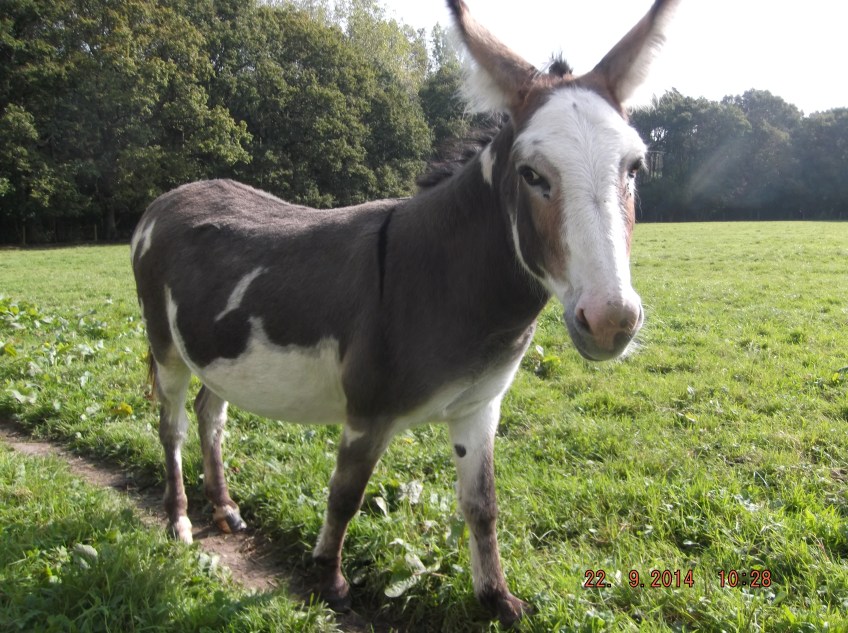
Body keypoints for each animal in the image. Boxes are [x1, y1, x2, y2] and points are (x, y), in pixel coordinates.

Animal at [131, 0, 679, 625]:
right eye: (532, 174)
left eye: (634, 168)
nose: (611, 321)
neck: (447, 282)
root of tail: (167, 198)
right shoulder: (368, 414)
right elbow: (344, 497)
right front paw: (328, 580)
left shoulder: (479, 408)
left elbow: (482, 505)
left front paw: (496, 599)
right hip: (166, 348)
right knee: (171, 425)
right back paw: (178, 520)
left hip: (216, 350)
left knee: (211, 413)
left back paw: (224, 509)